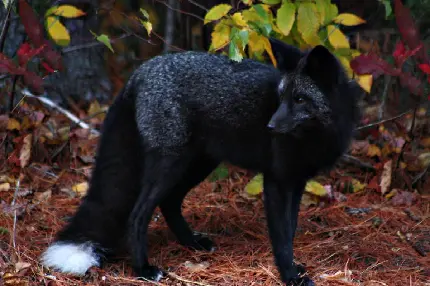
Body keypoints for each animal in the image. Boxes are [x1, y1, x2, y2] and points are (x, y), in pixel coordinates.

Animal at [40, 39, 362, 284]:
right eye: (282, 97)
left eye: (299, 99)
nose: (270, 127)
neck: (317, 135)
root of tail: (140, 72)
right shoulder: (277, 182)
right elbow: (282, 237)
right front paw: (290, 275)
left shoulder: (296, 182)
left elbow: (291, 230)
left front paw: (295, 268)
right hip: (171, 163)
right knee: (138, 213)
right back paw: (143, 269)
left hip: (197, 164)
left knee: (169, 203)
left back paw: (192, 243)